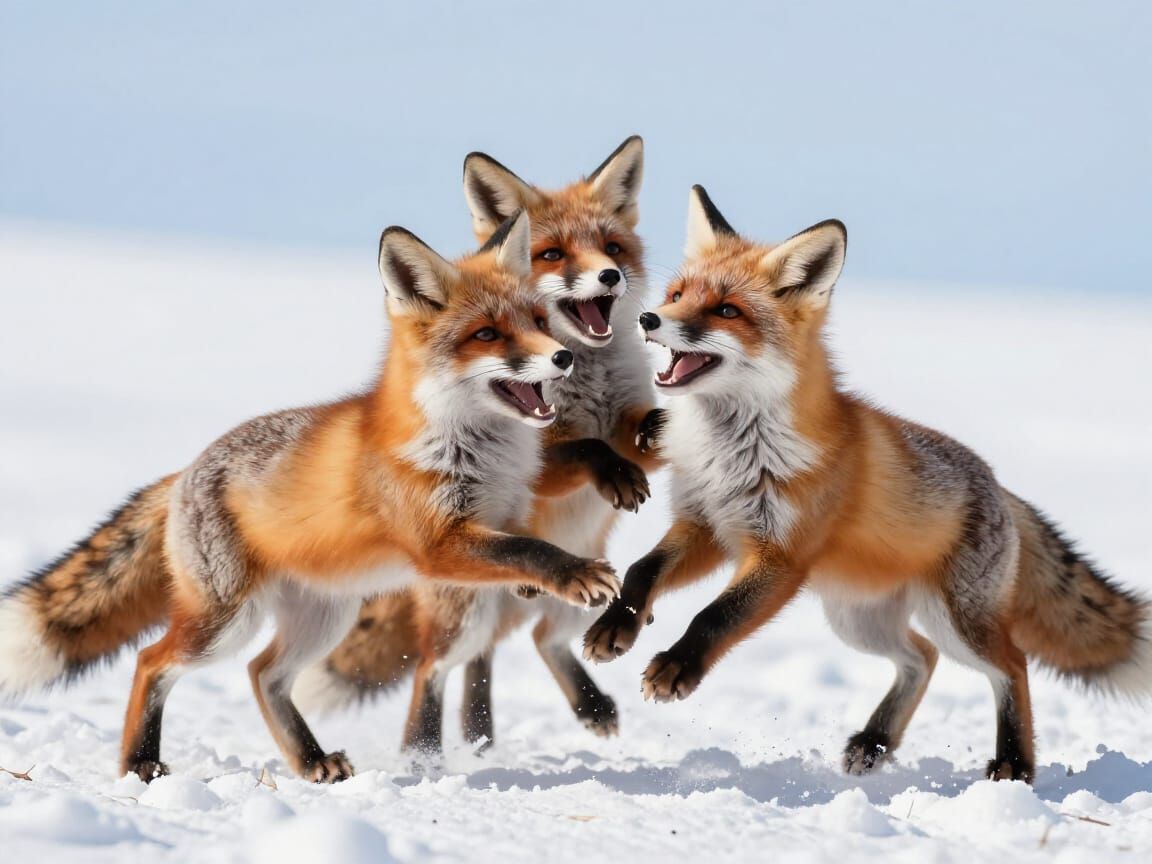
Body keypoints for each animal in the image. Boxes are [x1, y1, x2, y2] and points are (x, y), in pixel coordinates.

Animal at [0, 210, 627, 783]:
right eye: (488, 335)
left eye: (540, 321)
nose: (564, 357)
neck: (483, 453)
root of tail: (185, 472)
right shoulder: (436, 546)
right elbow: (528, 549)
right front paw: (575, 574)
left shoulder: (512, 502)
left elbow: (536, 522)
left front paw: (597, 498)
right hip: (225, 623)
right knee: (152, 660)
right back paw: (140, 763)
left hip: (325, 619)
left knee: (263, 673)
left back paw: (309, 759)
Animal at [295, 136, 664, 753]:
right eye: (552, 256)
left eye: (613, 248)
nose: (610, 276)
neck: (588, 389)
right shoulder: (540, 461)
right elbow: (587, 451)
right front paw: (614, 474)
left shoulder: (629, 419)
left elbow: (650, 429)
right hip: (469, 612)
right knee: (434, 667)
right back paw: (426, 756)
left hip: (579, 595)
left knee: (538, 642)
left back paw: (574, 710)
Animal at [583, 185, 1151, 783]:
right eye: (676, 295)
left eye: (726, 310)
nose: (647, 317)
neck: (732, 452)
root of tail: (999, 485)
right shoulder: (708, 527)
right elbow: (642, 570)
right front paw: (617, 627)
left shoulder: (781, 557)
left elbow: (715, 616)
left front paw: (676, 667)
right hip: (857, 621)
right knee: (921, 657)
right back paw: (876, 742)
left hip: (956, 623)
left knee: (1011, 664)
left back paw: (1014, 764)